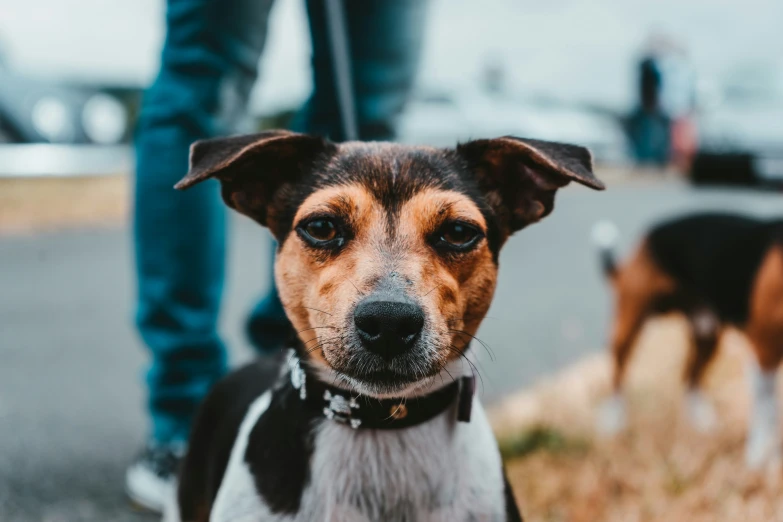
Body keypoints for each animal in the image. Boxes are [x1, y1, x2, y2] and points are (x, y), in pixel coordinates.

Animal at [596, 211, 783, 468]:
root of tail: (647, 237)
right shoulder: (764, 355)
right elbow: (767, 415)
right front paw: (763, 462)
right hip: (628, 326)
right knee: (618, 375)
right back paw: (614, 420)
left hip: (707, 333)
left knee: (689, 376)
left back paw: (701, 420)